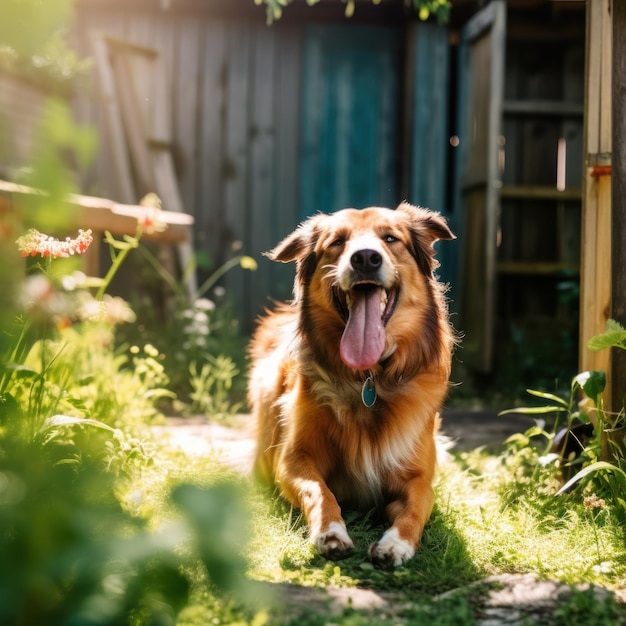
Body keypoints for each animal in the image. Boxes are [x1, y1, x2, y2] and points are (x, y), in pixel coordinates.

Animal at [246, 202, 456, 568]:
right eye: (337, 242)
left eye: (390, 238)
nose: (366, 258)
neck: (368, 379)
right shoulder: (292, 460)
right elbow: (320, 491)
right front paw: (330, 532)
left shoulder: (418, 476)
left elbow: (417, 507)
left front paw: (396, 544)